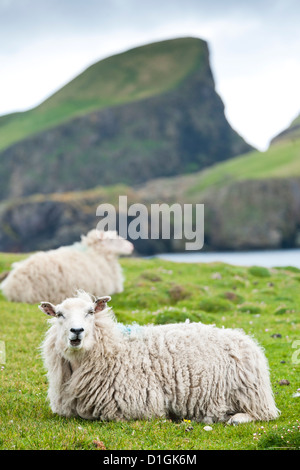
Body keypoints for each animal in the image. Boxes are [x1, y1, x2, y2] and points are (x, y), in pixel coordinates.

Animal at [38, 292, 280, 424]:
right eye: (59, 314)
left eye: (90, 312)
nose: (76, 331)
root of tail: (246, 339)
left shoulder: (137, 406)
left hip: (251, 393)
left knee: (264, 414)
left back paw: (234, 419)